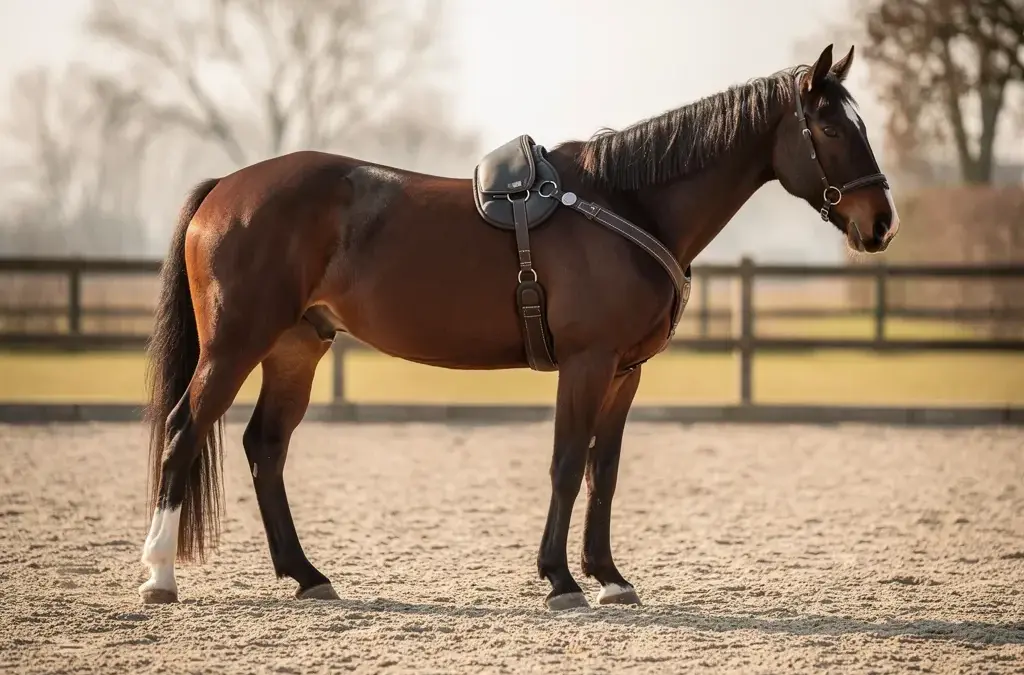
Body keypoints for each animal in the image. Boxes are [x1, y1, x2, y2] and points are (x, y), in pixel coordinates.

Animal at [137, 43, 899, 610]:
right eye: (833, 129)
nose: (882, 224)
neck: (629, 204)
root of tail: (227, 188)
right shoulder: (588, 362)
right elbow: (565, 463)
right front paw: (560, 581)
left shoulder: (625, 371)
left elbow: (603, 469)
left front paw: (609, 576)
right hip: (235, 345)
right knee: (183, 431)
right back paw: (160, 576)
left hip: (296, 347)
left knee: (265, 447)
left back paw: (307, 575)